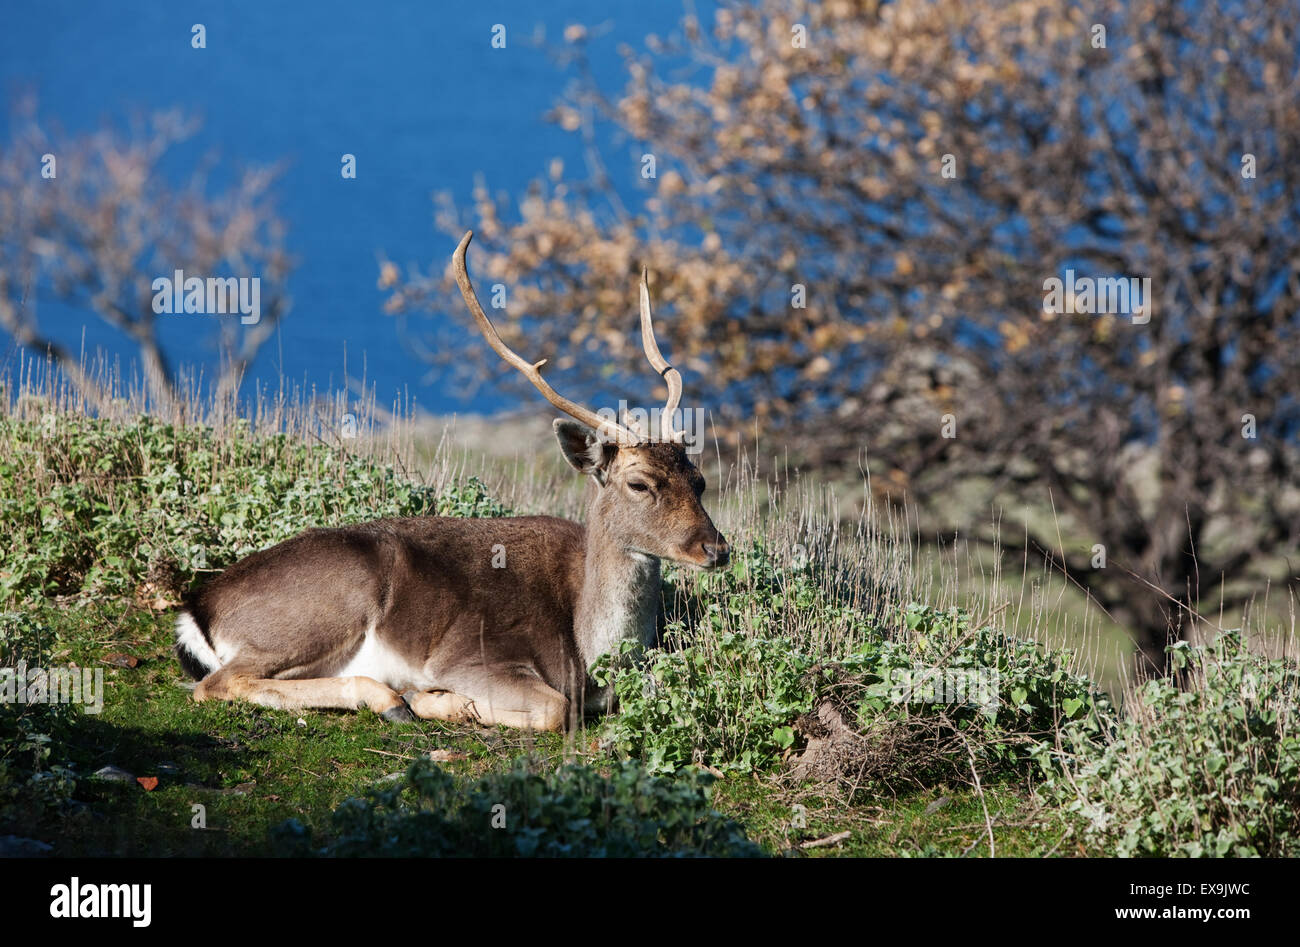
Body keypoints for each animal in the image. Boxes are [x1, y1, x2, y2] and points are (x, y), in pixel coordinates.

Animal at [170, 228, 733, 733]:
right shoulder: (471, 657)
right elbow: (556, 708)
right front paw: (436, 700)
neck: (587, 647)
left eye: (699, 479)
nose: (716, 548)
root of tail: (198, 610)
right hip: (325, 608)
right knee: (215, 683)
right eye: (640, 483)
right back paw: (392, 699)